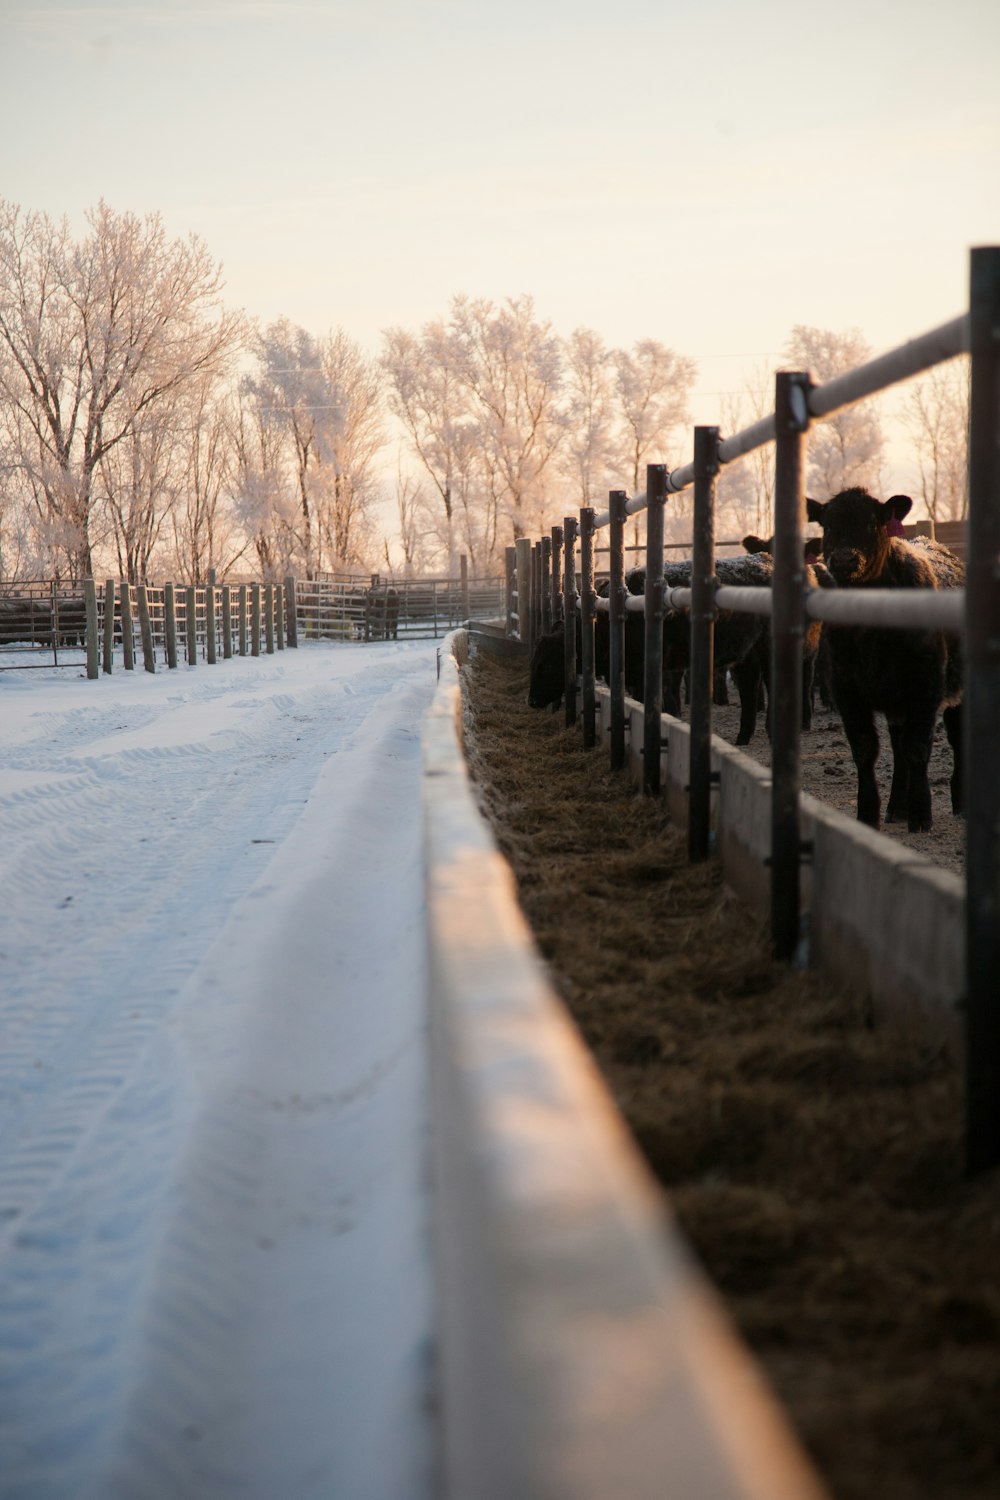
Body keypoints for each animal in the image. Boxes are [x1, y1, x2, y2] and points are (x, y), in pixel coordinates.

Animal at [803, 489, 959, 834]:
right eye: (827, 524)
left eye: (872, 522)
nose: (844, 559)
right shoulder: (846, 690)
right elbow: (864, 750)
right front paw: (868, 813)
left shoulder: (927, 687)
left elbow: (918, 748)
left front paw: (921, 814)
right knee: (898, 748)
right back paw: (896, 807)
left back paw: (959, 803)